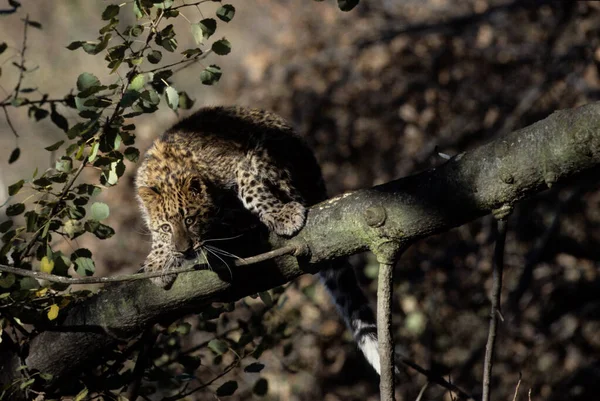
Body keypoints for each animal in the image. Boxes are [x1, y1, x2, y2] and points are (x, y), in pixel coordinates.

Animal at [135, 105, 380, 372]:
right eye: (166, 227)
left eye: (190, 220)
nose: (184, 250)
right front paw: (157, 262)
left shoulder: (239, 164)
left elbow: (251, 189)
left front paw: (282, 216)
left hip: (272, 152)